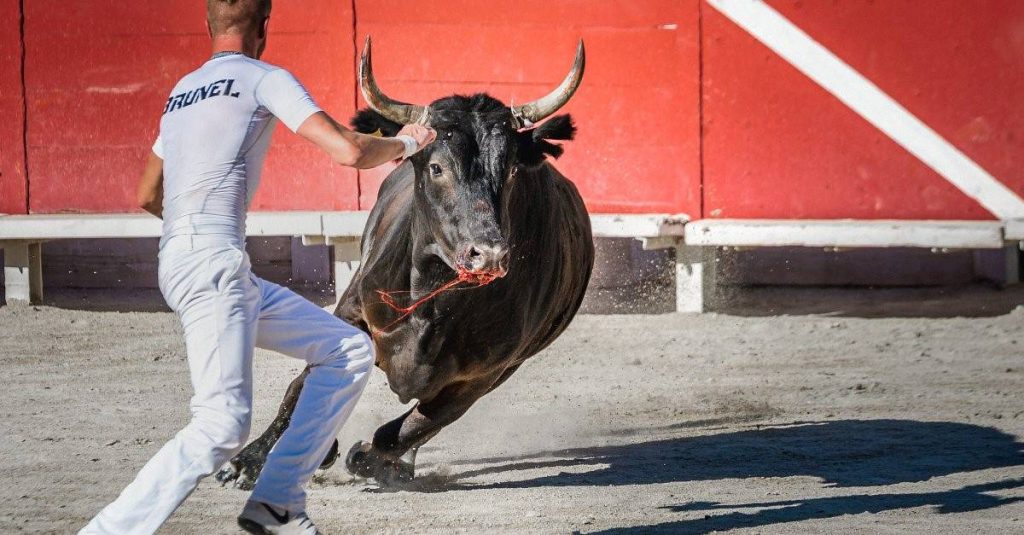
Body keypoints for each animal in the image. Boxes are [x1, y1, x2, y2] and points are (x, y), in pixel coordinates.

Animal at [214, 39, 593, 485]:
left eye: (513, 170)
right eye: (436, 167)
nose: (489, 254)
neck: (429, 297)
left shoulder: (483, 375)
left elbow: (407, 429)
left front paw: (369, 459)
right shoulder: (352, 313)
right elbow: (302, 386)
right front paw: (248, 461)